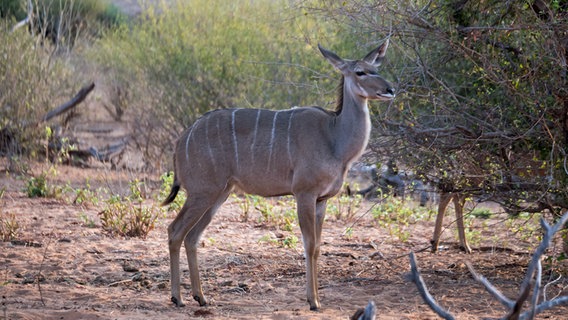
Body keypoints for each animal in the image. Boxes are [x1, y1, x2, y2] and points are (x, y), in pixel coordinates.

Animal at [161, 39, 394, 310]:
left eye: (376, 68)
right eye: (360, 72)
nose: (390, 90)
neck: (334, 137)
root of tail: (182, 140)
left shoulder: (321, 200)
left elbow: (317, 246)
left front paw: (316, 298)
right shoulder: (304, 193)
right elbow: (309, 245)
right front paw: (313, 301)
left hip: (219, 194)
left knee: (192, 237)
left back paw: (201, 297)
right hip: (202, 192)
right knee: (175, 231)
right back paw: (177, 298)